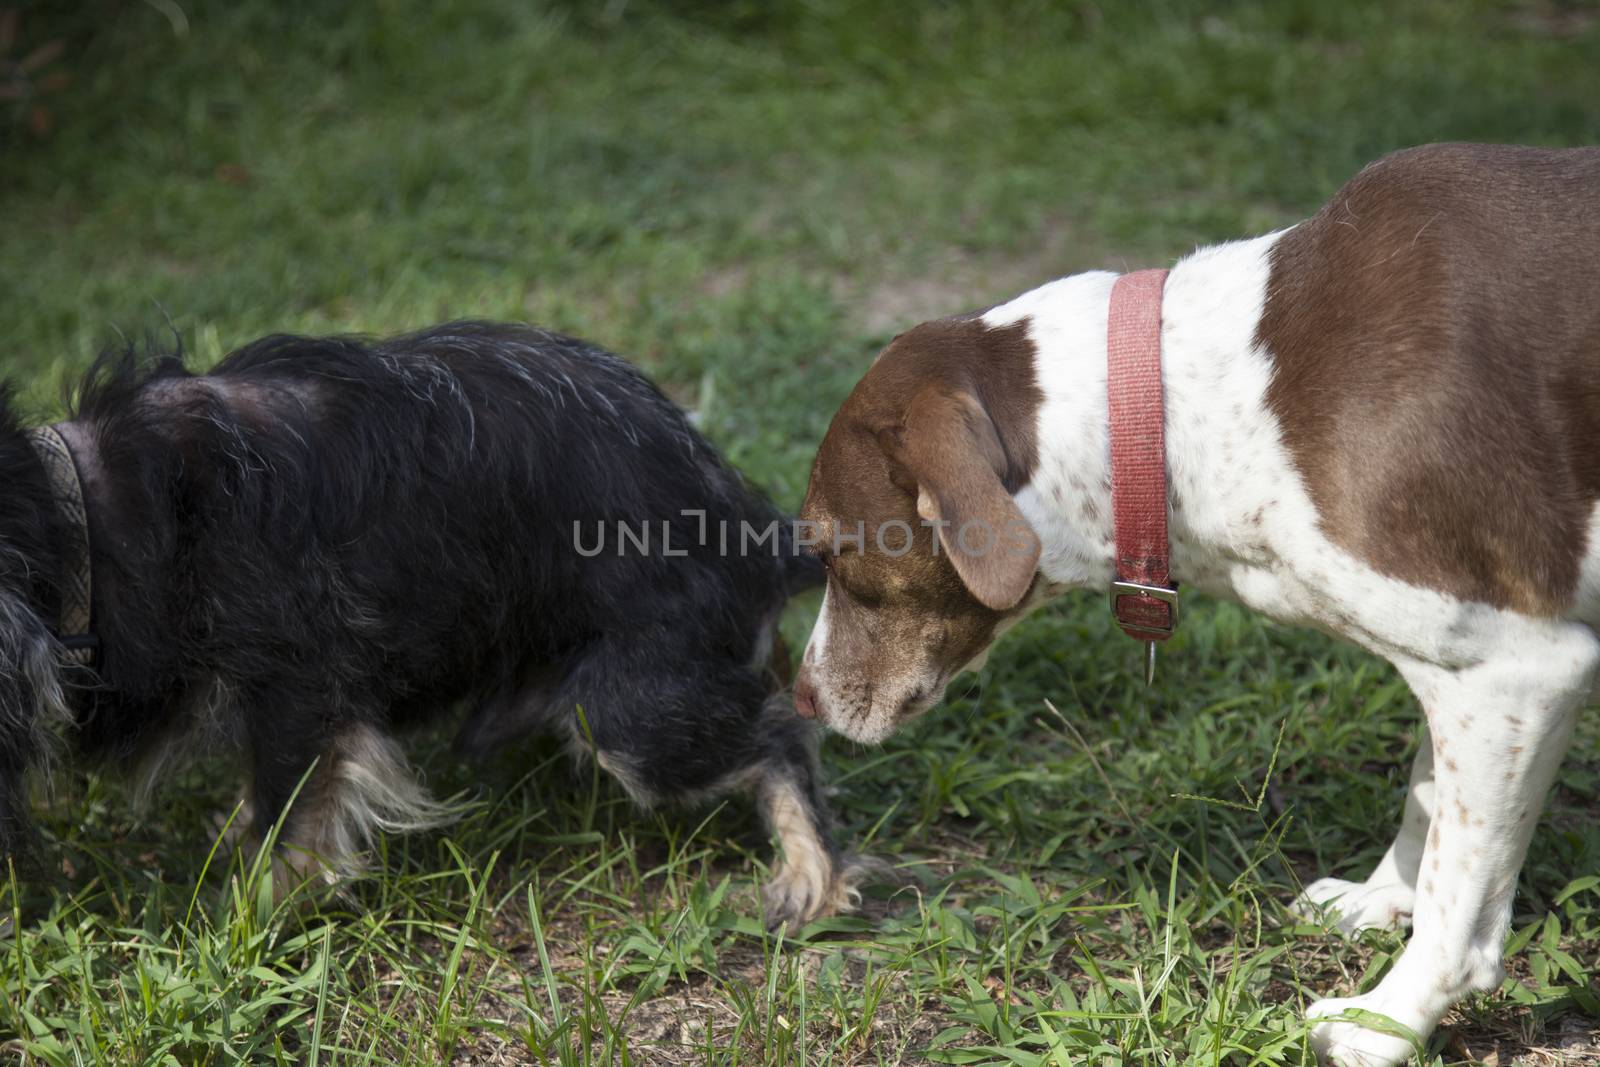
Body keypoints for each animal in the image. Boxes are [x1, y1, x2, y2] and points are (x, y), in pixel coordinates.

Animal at [0, 319, 870, 927]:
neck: (85, 513)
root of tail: (760, 535)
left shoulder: (302, 681)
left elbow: (289, 812)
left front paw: (251, 919)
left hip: (630, 715)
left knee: (778, 734)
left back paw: (809, 877)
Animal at [793, 141, 1600, 1067]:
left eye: (826, 550)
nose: (800, 695)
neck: (1192, 406)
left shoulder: (1518, 670)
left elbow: (1457, 899)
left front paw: (1384, 1023)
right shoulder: (1459, 665)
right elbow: (1428, 801)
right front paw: (1379, 898)